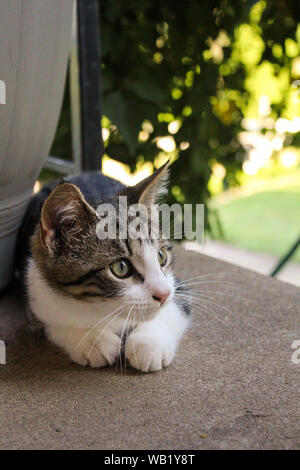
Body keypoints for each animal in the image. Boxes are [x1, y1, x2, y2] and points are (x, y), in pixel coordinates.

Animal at [15, 163, 190, 372]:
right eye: (121, 268)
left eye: (161, 256)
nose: (163, 295)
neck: (103, 307)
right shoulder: (36, 295)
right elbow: (52, 323)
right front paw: (94, 341)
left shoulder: (176, 285)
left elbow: (173, 307)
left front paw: (148, 344)